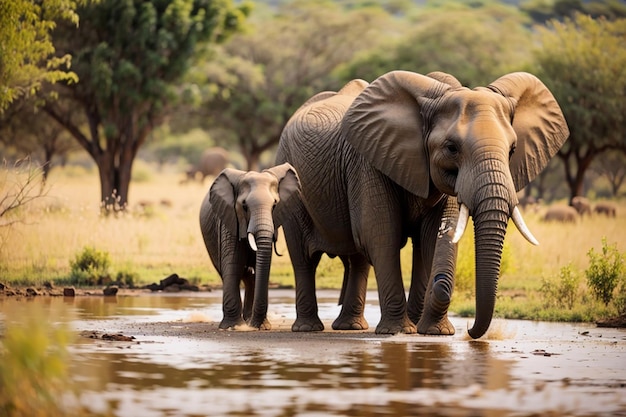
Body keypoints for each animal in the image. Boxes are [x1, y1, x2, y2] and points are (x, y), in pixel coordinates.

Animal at [199, 162, 298, 328]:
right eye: (244, 206)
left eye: (275, 206)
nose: (257, 325)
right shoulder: (230, 220)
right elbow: (233, 264)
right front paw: (233, 327)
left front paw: (261, 326)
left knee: (249, 278)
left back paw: (248, 319)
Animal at [276, 70, 568, 336]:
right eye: (452, 148)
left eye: (512, 151)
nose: (470, 330)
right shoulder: (369, 163)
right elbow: (381, 235)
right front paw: (399, 331)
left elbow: (431, 239)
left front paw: (430, 331)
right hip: (288, 174)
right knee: (303, 258)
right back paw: (309, 328)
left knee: (358, 260)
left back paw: (350, 327)